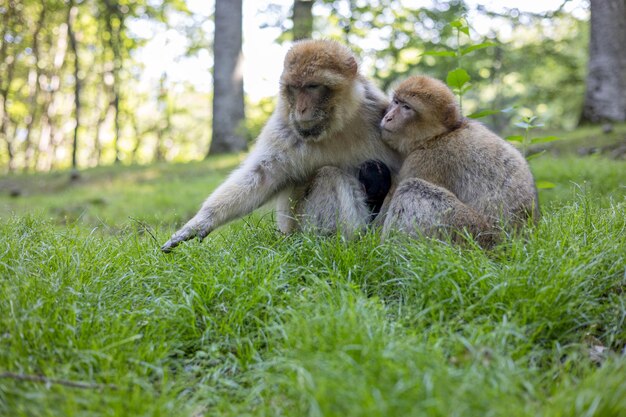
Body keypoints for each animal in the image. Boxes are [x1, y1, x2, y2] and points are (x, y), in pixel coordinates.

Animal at [158, 39, 398, 254]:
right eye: (294, 89)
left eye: (312, 86)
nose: (301, 109)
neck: (337, 126)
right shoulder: (285, 129)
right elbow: (262, 176)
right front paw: (201, 221)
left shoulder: (377, 111)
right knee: (329, 176)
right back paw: (331, 246)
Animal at [376, 75, 536, 244]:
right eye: (396, 102)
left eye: (407, 107)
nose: (388, 117)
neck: (438, 135)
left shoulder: (425, 161)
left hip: (470, 232)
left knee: (412, 188)